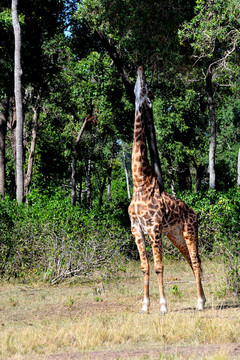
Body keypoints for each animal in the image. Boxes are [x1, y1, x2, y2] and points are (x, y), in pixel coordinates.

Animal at [128, 66, 205, 314]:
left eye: (145, 87)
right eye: (137, 84)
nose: (140, 70)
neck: (139, 182)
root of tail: (194, 212)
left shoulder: (153, 229)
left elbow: (159, 267)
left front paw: (162, 306)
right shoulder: (136, 230)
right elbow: (145, 267)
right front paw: (145, 306)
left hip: (190, 231)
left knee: (196, 261)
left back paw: (200, 303)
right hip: (175, 235)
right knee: (192, 261)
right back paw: (202, 299)